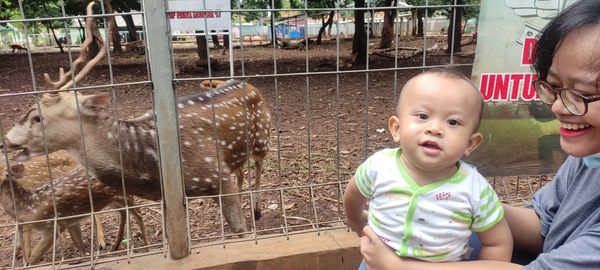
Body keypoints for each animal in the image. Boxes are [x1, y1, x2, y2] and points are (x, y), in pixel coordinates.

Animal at [0, 153, 149, 264]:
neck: (27, 207)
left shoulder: (52, 226)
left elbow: (32, 257)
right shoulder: (70, 221)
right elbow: (80, 246)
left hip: (125, 194)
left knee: (138, 213)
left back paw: (146, 247)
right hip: (112, 200)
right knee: (123, 212)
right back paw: (115, 245)